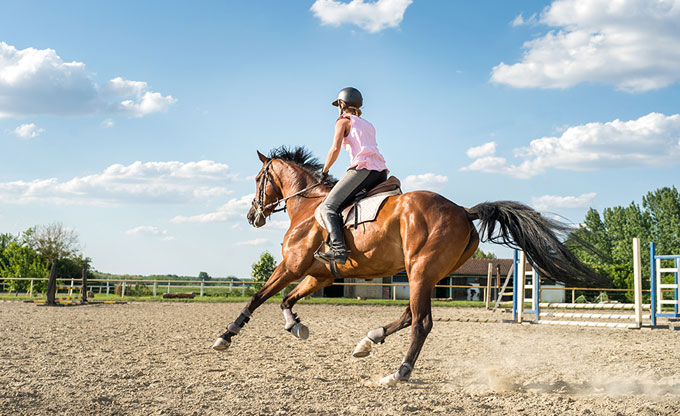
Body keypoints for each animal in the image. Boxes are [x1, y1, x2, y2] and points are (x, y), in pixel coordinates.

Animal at [214, 146, 604, 386]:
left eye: (258, 179)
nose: (251, 216)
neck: (309, 207)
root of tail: (463, 211)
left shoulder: (292, 266)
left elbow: (259, 297)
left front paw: (226, 336)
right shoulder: (318, 274)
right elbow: (286, 300)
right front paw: (295, 326)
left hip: (419, 272)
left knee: (421, 323)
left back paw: (398, 373)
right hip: (427, 276)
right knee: (408, 315)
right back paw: (368, 340)